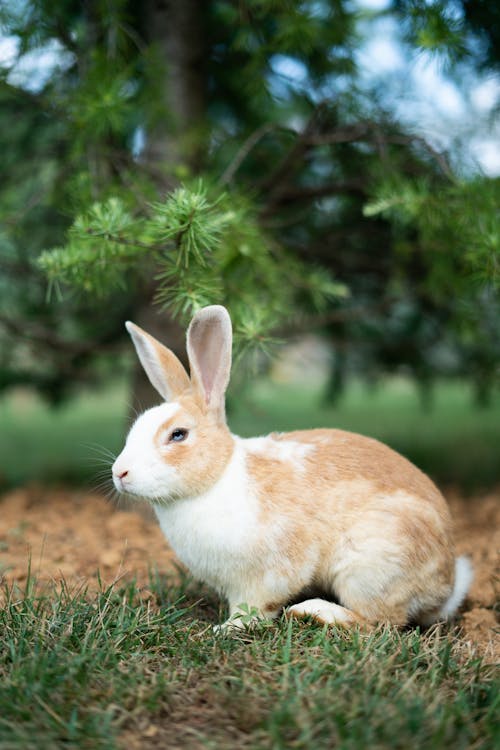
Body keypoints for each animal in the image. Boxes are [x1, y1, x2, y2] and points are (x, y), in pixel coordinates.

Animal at [112, 305, 473, 630]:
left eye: (178, 434)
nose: (119, 473)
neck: (217, 478)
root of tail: (446, 587)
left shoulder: (269, 573)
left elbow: (255, 607)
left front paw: (227, 628)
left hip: (370, 567)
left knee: (379, 622)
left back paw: (313, 611)